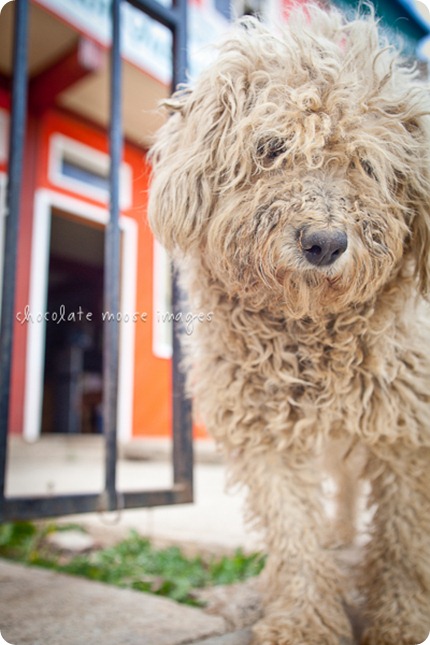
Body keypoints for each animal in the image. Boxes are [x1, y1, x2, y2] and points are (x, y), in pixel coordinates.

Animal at [148, 5, 430, 644]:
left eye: (367, 164)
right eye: (271, 148)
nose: (323, 243)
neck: (311, 336)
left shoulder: (407, 428)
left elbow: (404, 539)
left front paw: (402, 620)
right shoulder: (265, 433)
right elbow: (295, 535)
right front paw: (305, 621)